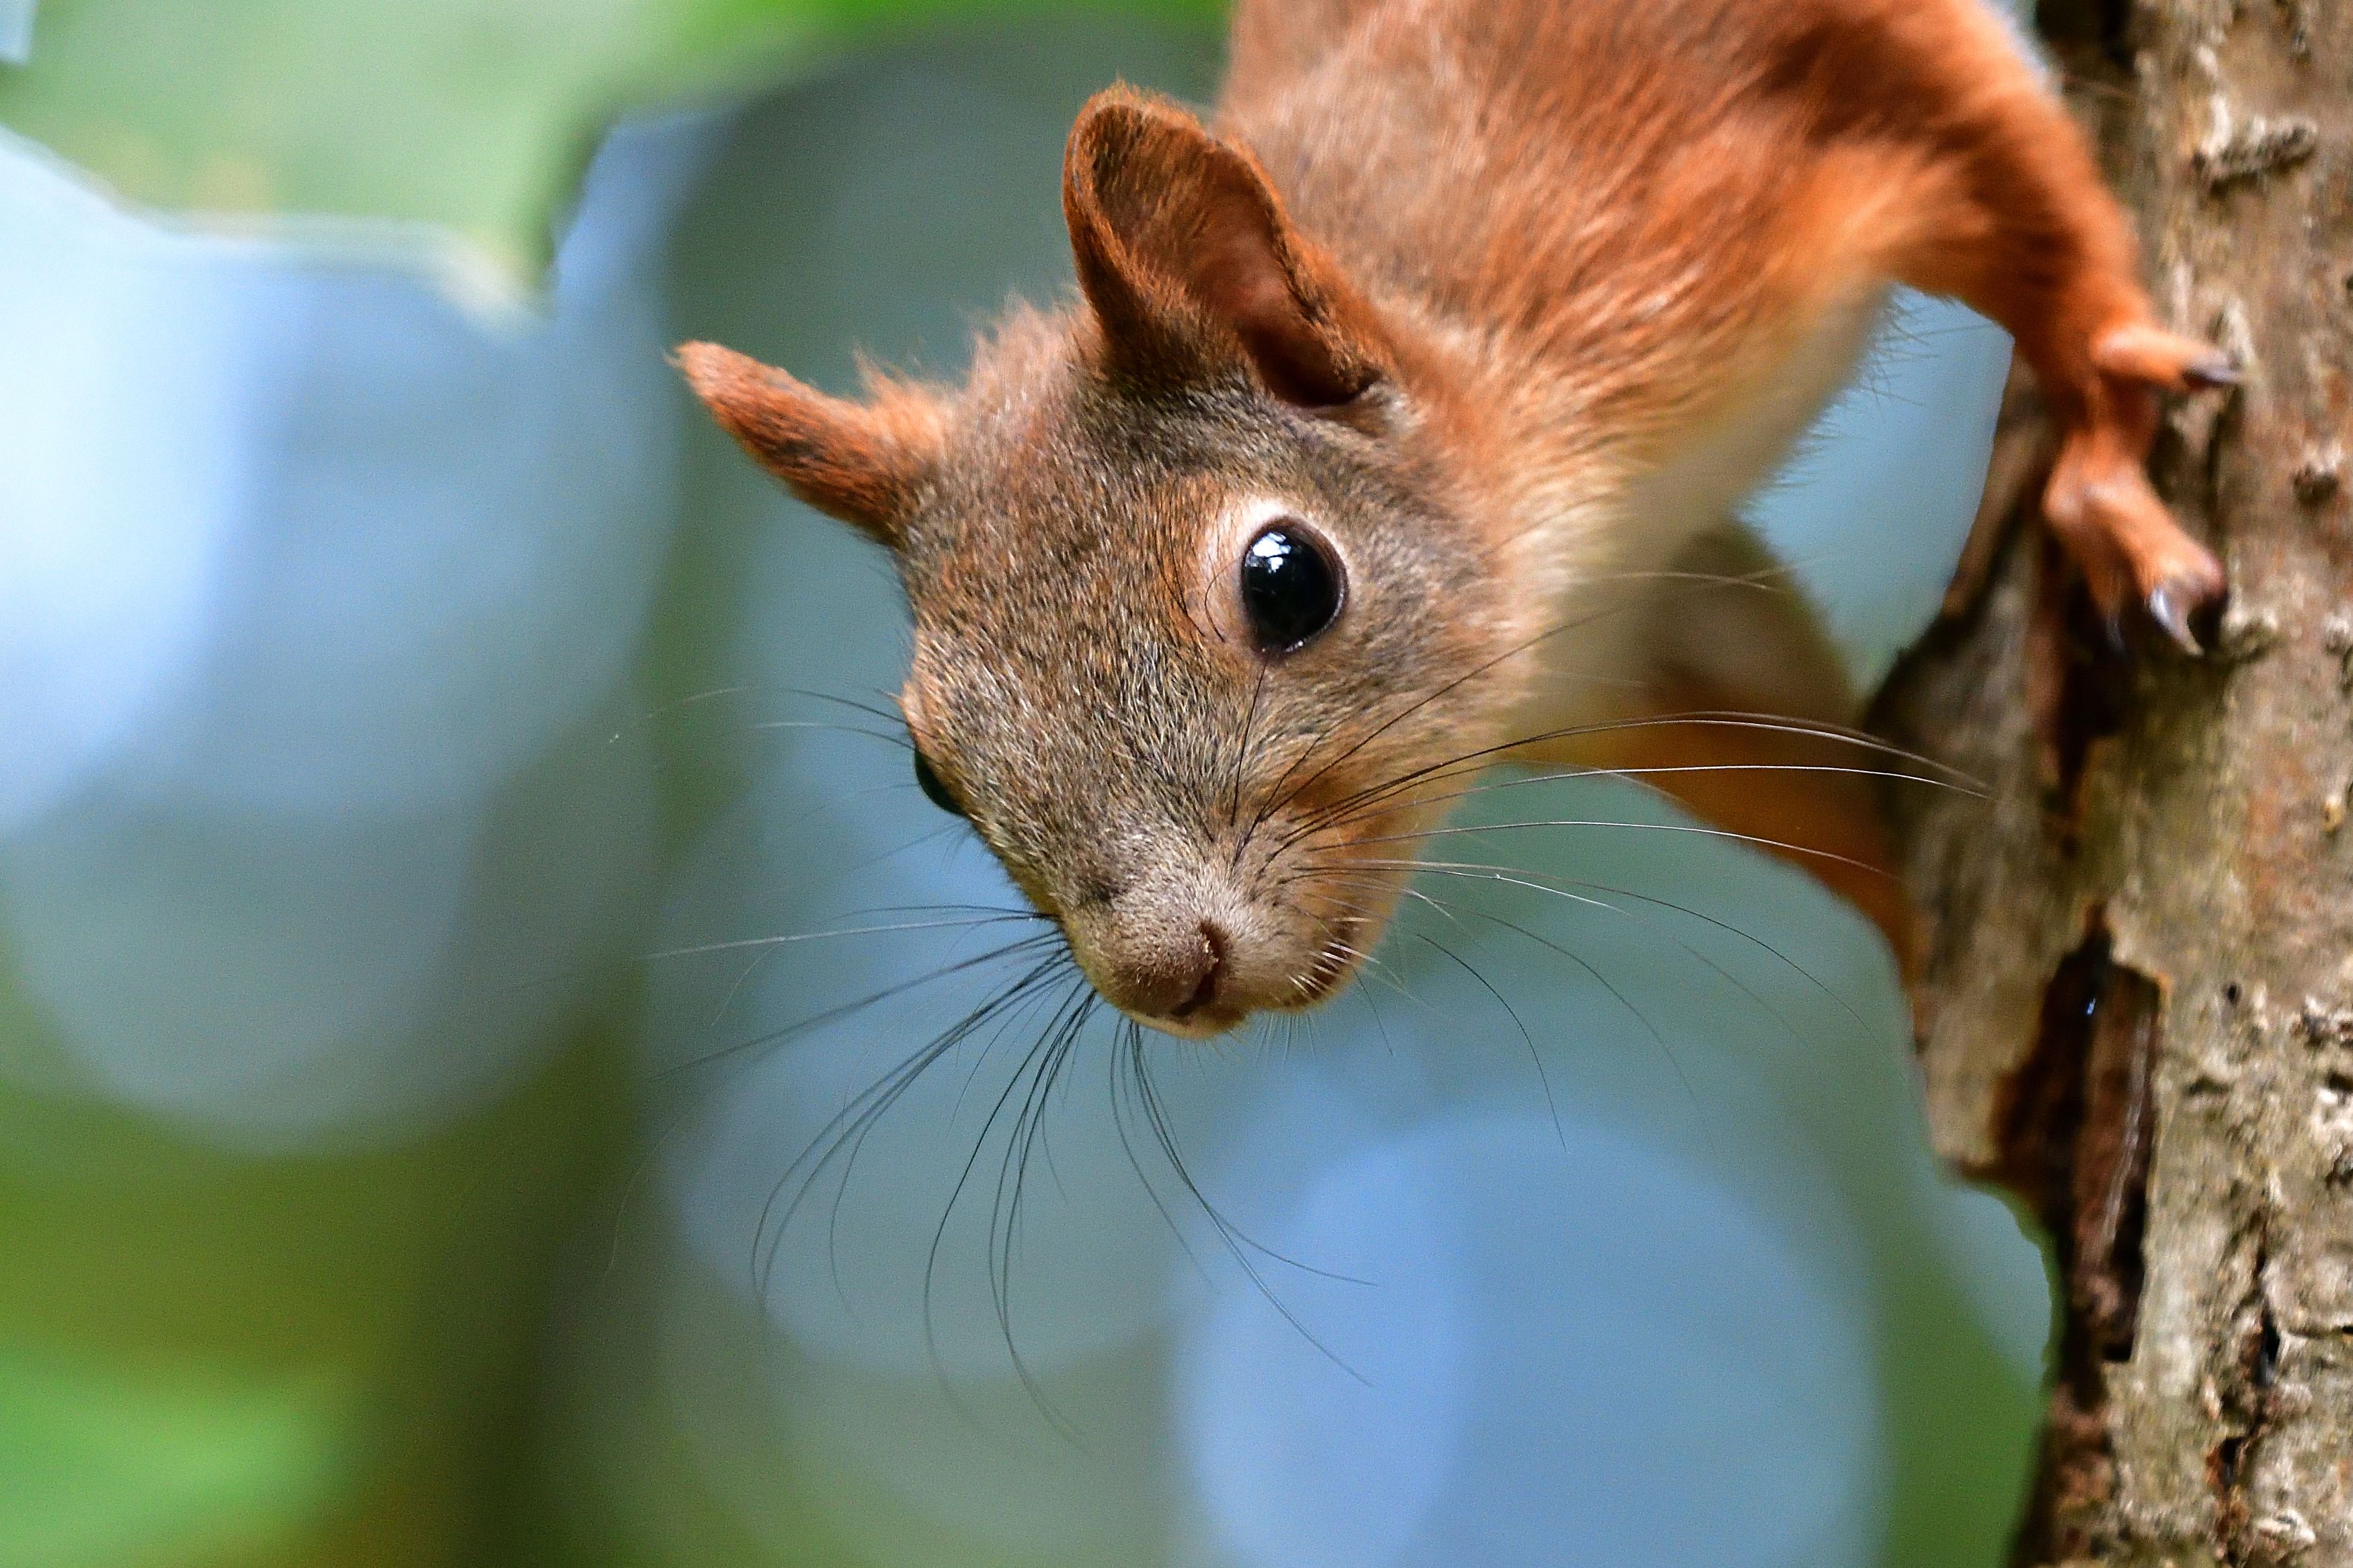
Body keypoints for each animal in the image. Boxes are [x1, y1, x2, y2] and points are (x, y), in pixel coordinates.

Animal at [678, 3, 2221, 1044]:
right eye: (932, 770)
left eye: (1288, 581)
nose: (1168, 976)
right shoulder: (1636, 641)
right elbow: (1821, 783)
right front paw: (1947, 974)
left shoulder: (1723, 133)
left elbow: (2024, 204)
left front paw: (2103, 436)